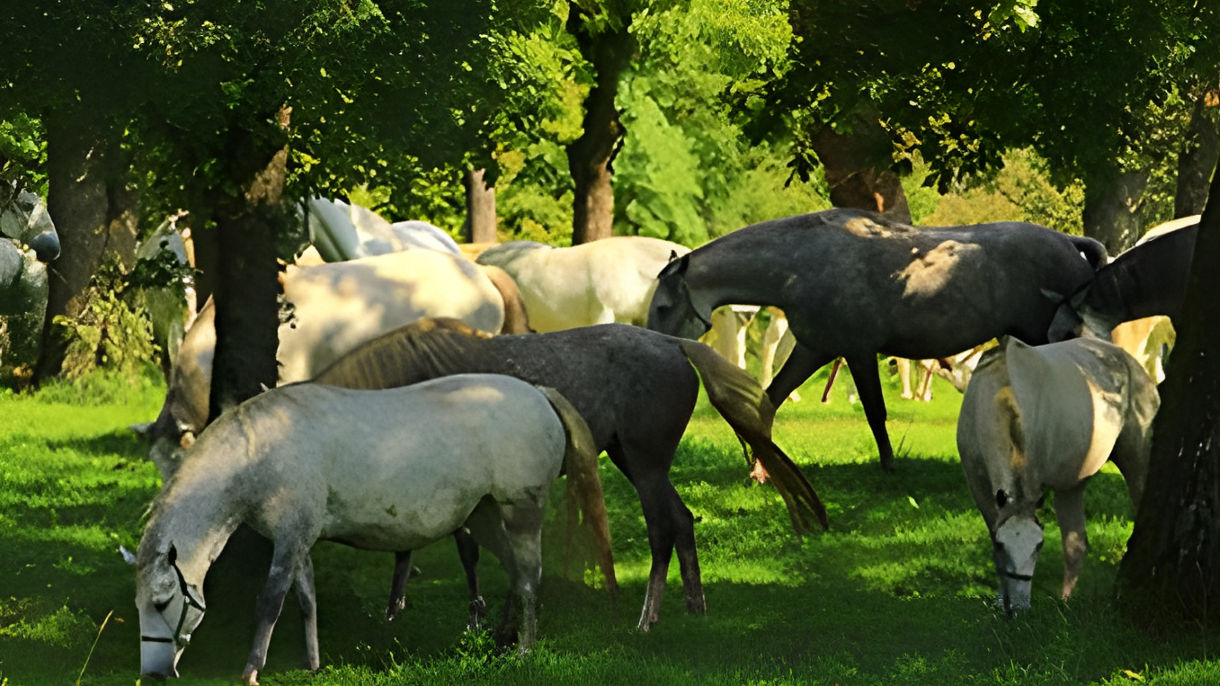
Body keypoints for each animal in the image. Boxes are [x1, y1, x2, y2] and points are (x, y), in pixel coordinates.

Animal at [137, 374, 611, 685]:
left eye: (162, 602)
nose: (154, 673)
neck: (259, 451)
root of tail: (539, 393)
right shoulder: (300, 539)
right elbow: (306, 600)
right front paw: (312, 664)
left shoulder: (290, 538)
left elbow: (270, 602)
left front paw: (252, 669)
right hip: (485, 516)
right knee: (515, 573)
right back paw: (499, 640)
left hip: (521, 513)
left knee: (529, 578)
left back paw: (524, 650)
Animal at [302, 317, 826, 630]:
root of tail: (676, 344)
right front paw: (400, 608)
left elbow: (460, 549)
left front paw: (470, 616)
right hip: (634, 460)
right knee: (682, 520)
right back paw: (693, 607)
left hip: (644, 464)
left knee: (663, 527)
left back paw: (645, 619)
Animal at [647, 208, 1107, 470]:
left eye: (664, 307)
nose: (653, 348)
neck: (801, 264)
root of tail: (1070, 242)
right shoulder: (815, 348)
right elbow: (769, 400)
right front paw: (758, 467)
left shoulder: (857, 351)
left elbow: (874, 413)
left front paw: (889, 467)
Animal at [956, 336, 1158, 616]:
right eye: (1001, 545)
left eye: (1039, 546)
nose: (1019, 606)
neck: (999, 394)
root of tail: (1125, 358)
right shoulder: (979, 486)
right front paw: (1000, 599)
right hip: (1071, 483)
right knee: (1075, 543)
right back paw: (1066, 601)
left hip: (1138, 456)